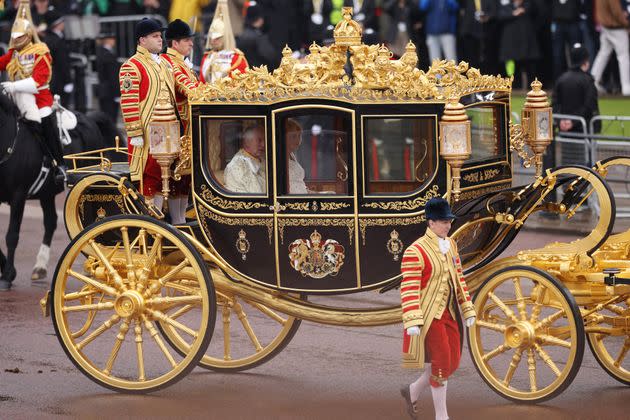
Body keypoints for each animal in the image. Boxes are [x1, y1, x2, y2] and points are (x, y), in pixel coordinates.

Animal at [0, 89, 118, 290]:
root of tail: (88, 117)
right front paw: (9, 272)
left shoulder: (18, 196)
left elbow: (12, 235)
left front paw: (7, 275)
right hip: (47, 193)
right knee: (50, 222)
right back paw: (40, 267)